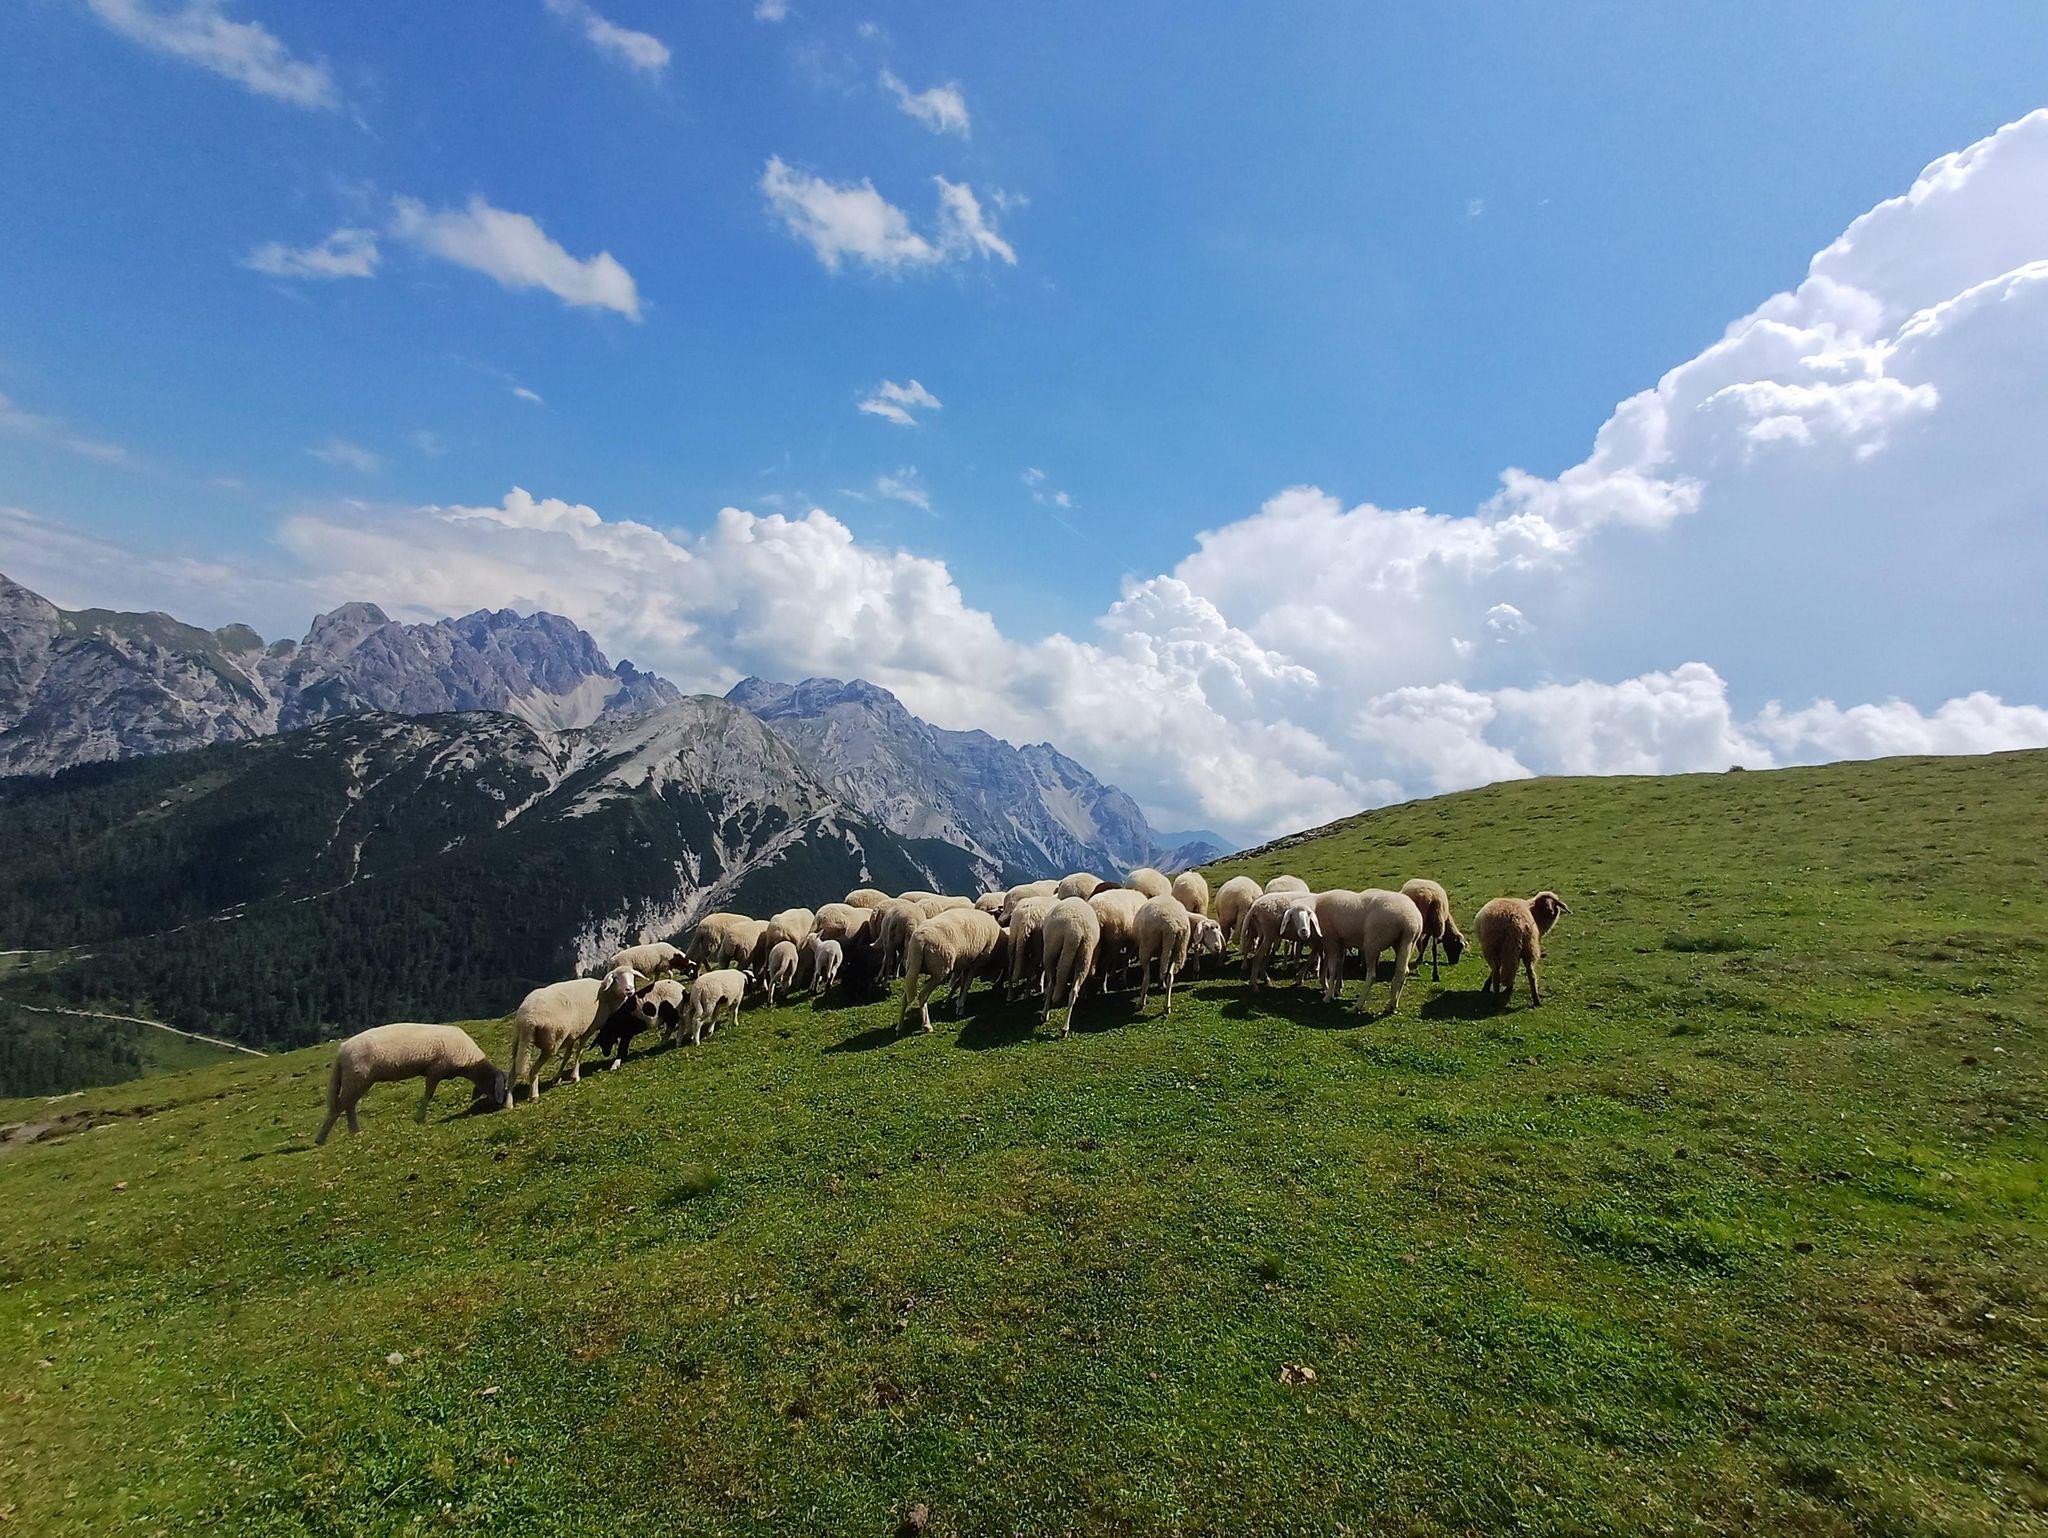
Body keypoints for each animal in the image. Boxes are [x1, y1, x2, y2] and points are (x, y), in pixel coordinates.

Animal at [316, 1023, 506, 1143]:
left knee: (349, 1105)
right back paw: (321, 1139)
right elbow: (429, 1094)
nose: (501, 1105)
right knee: (339, 1106)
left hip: (357, 1080)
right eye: (501, 1086)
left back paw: (354, 1131)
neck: (469, 1060)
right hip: (357, 1077)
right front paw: (419, 1118)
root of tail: (342, 1050)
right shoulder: (436, 1069)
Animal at [507, 965, 642, 1104]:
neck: (607, 996)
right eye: (616, 978)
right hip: (551, 1042)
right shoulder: (589, 1029)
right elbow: (580, 1051)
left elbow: (568, 1055)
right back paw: (534, 1095)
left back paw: (509, 1103)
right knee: (533, 1070)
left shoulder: (572, 1034)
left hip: (519, 1042)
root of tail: (527, 1019)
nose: (630, 990)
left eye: (632, 976)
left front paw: (558, 1077)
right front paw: (575, 1077)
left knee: (512, 1072)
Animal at [1037, 897, 1101, 1037]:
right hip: (1085, 954)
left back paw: (1045, 1014)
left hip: (1051, 951)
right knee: (1073, 991)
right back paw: (1065, 1028)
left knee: (1052, 984)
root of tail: (1075, 931)